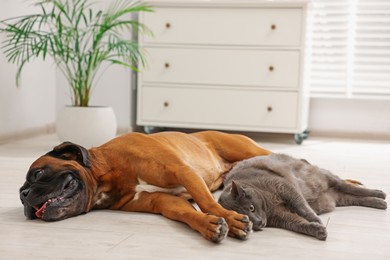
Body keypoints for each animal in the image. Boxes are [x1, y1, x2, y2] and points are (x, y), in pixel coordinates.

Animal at [19, 131, 272, 243]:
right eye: (21, 194)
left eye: (38, 173)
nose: (24, 196)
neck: (108, 171)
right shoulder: (165, 202)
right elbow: (187, 213)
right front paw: (208, 225)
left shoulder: (183, 172)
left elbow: (206, 201)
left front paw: (232, 219)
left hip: (247, 149)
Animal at [219, 153, 386, 241]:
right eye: (245, 218)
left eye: (252, 208)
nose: (259, 223)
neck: (269, 207)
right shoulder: (280, 216)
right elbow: (297, 223)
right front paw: (317, 230)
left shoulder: (285, 187)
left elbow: (302, 207)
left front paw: (316, 220)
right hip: (341, 198)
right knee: (356, 198)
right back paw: (379, 203)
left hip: (326, 178)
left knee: (351, 187)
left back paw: (380, 194)